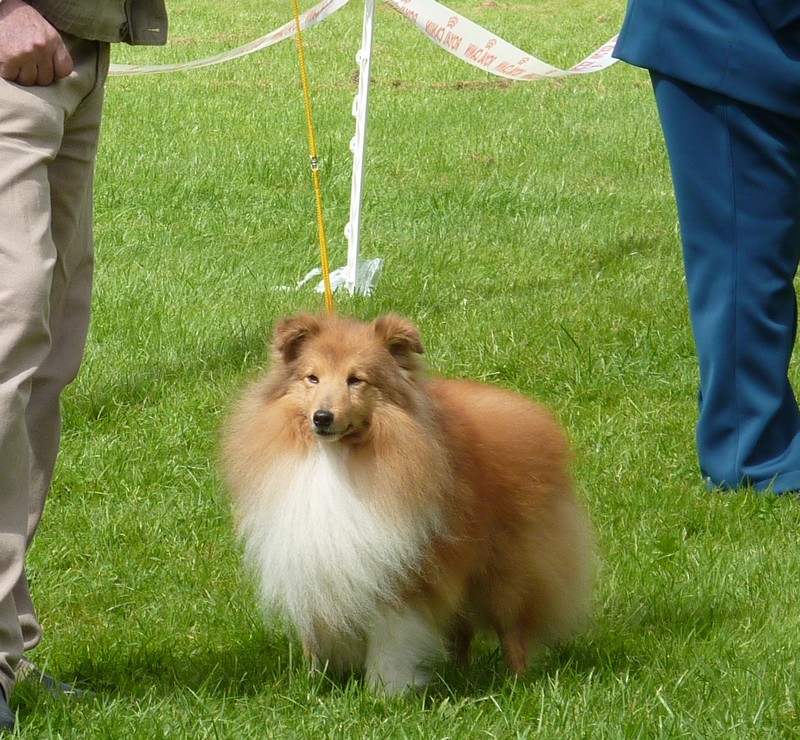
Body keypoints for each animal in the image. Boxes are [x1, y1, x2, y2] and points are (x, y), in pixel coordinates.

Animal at [219, 312, 592, 692]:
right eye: (312, 377)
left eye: (356, 380)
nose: (322, 418)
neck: (339, 458)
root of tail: (533, 414)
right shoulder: (313, 564)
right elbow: (315, 637)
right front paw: (315, 686)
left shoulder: (399, 571)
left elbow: (391, 640)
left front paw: (385, 692)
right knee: (462, 630)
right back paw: (460, 672)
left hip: (508, 571)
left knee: (512, 629)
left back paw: (516, 680)